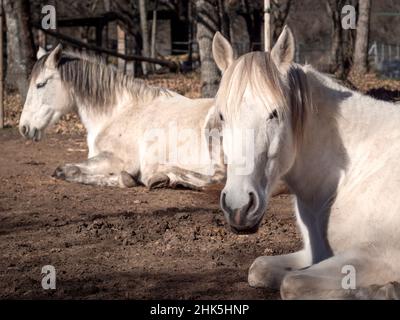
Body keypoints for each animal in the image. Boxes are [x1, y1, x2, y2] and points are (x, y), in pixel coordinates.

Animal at [19, 45, 225, 190]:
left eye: (40, 84)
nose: (23, 127)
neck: (117, 112)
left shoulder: (118, 160)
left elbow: (65, 169)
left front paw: (125, 179)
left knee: (218, 178)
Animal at [214, 26, 400, 298]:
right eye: (221, 116)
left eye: (275, 113)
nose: (238, 208)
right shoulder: (317, 252)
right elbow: (260, 269)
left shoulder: (381, 257)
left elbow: (293, 283)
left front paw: (381, 290)